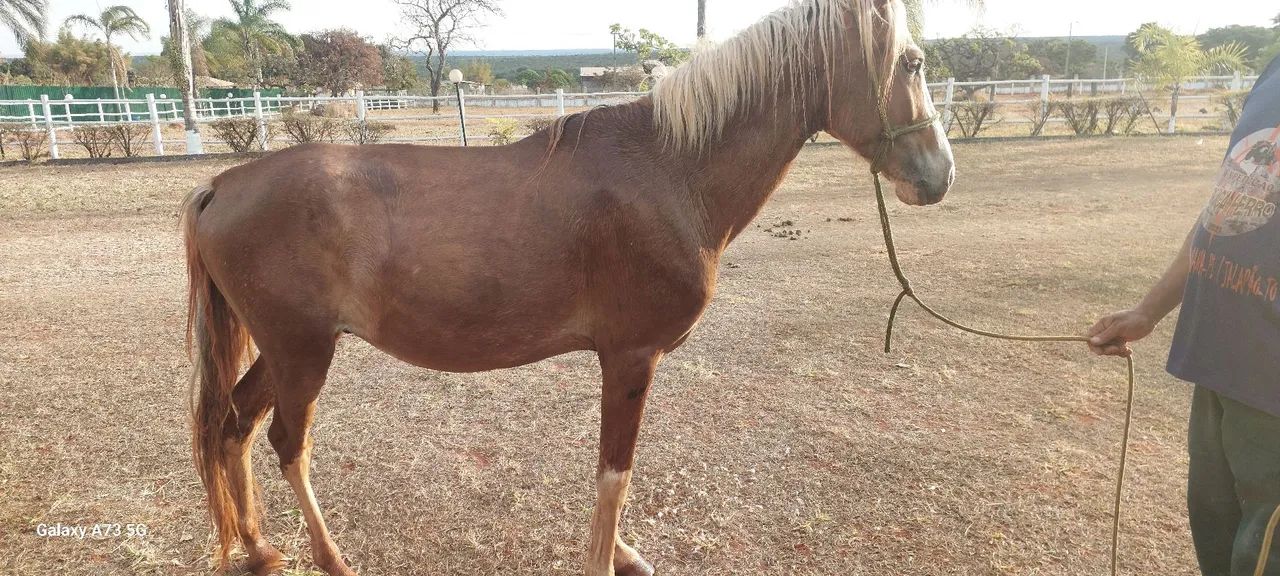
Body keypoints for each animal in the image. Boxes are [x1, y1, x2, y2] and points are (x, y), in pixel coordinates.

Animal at [181, 0, 954, 574]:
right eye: (912, 60)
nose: (937, 175)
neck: (670, 169)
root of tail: (226, 183)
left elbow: (615, 470)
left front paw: (625, 553)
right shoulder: (631, 356)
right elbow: (615, 471)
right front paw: (605, 559)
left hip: (280, 350)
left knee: (235, 425)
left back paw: (259, 548)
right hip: (303, 351)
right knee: (286, 441)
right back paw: (332, 558)